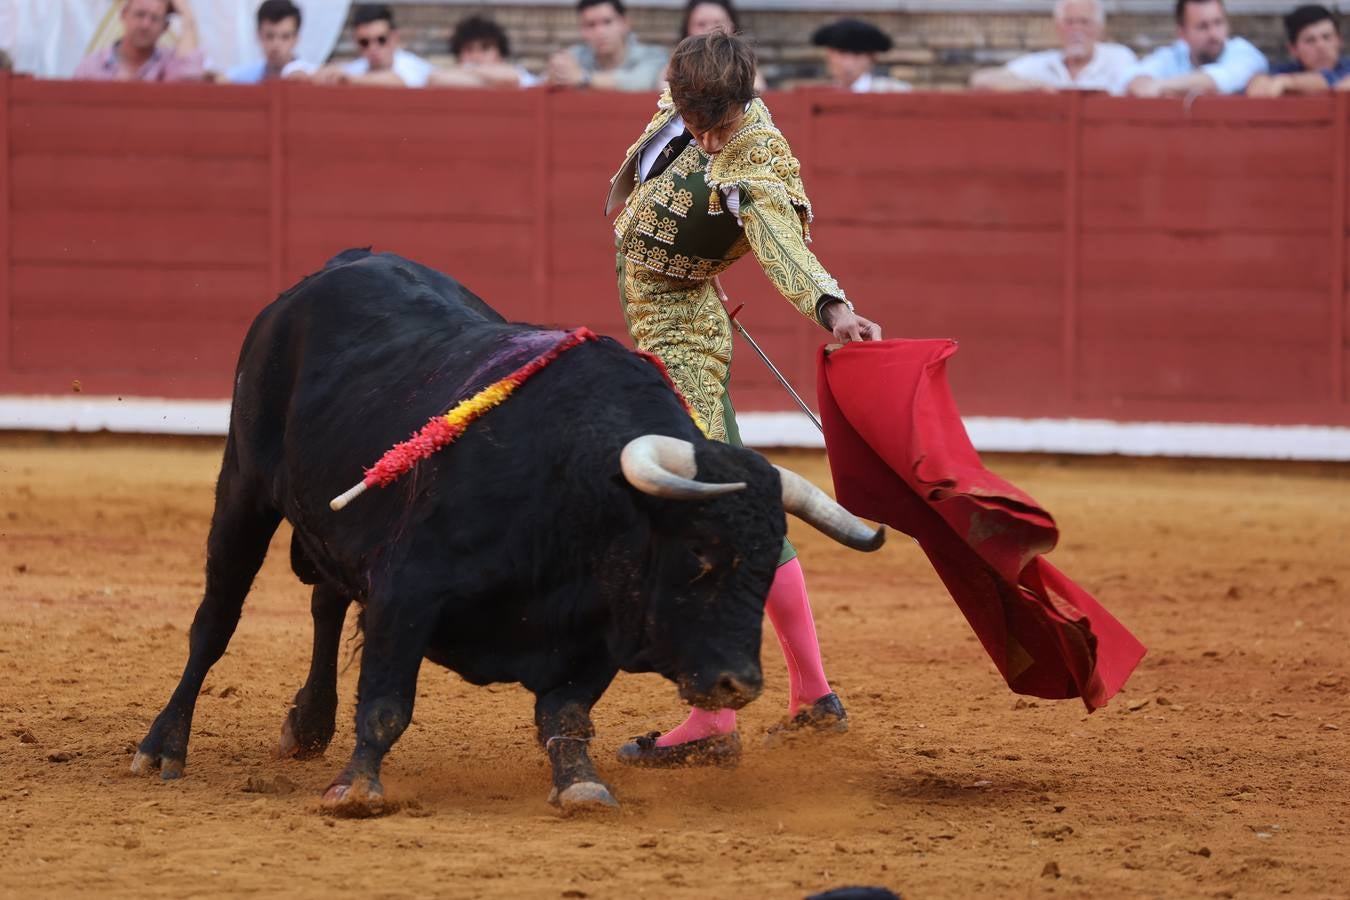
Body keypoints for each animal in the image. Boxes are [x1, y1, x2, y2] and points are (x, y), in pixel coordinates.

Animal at [128, 249, 885, 814]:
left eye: (761, 571)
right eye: (699, 558)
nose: (738, 684)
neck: (577, 489)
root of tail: (339, 267)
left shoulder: (598, 628)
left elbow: (567, 715)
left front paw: (581, 785)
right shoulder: (408, 589)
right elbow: (387, 700)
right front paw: (356, 788)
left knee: (326, 602)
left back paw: (308, 725)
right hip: (243, 485)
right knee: (215, 620)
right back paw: (162, 746)